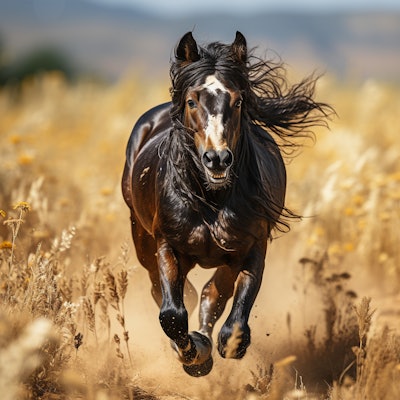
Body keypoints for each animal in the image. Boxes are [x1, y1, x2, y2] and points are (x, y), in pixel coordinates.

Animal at [122, 30, 332, 376]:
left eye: (238, 101)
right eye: (192, 101)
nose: (217, 158)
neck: (210, 200)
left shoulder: (249, 247)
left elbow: (231, 317)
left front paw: (217, 347)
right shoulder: (166, 243)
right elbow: (172, 313)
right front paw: (192, 358)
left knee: (210, 294)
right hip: (141, 236)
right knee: (164, 288)